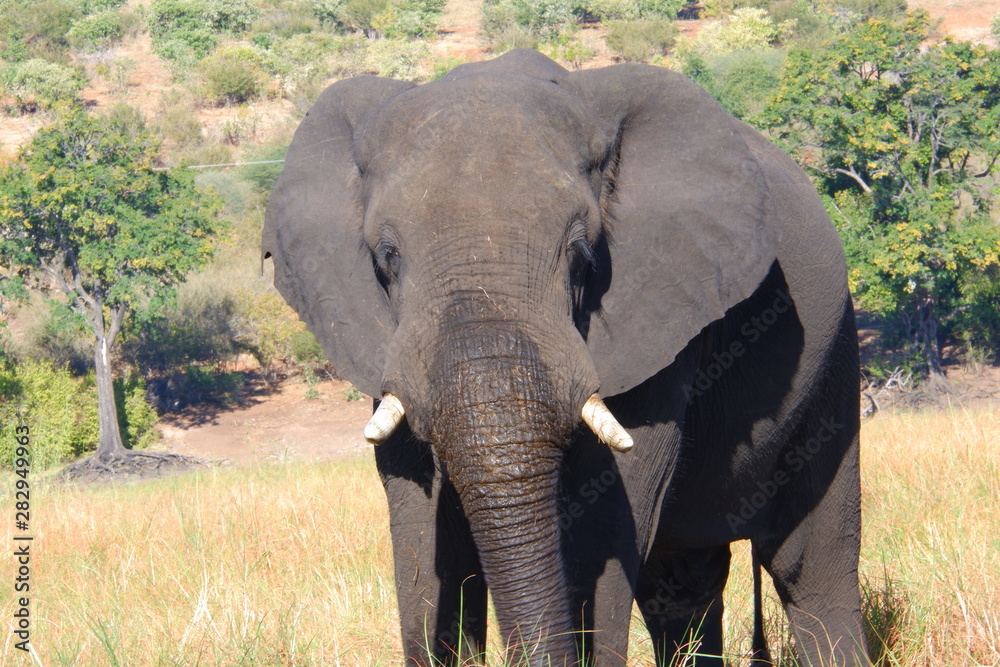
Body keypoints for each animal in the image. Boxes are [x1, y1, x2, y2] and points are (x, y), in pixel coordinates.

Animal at [263, 49, 869, 666]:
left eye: (580, 255)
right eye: (387, 258)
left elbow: (599, 524)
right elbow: (421, 526)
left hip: (834, 353)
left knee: (812, 570)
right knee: (683, 582)